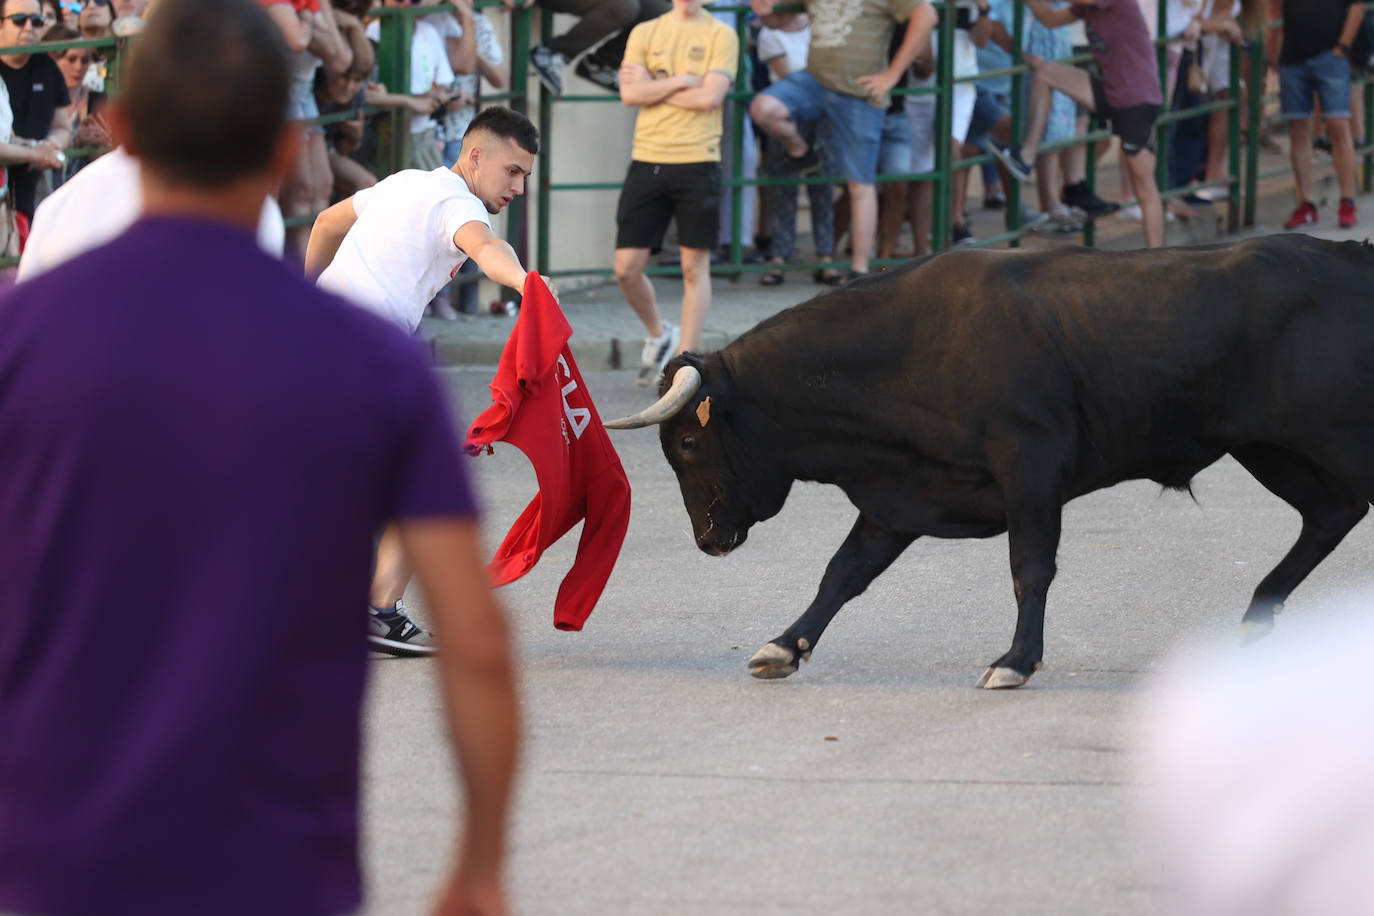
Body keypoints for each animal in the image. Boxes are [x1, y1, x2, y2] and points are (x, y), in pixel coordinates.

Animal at [607, 236, 1374, 686]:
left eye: (687, 443)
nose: (708, 540)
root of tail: (1347, 257)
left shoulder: (1030, 466)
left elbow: (1029, 567)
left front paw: (1016, 661)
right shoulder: (898, 496)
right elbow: (843, 574)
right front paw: (784, 646)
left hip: (1326, 437)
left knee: (1339, 507)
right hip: (1269, 446)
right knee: (1332, 512)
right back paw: (1258, 615)